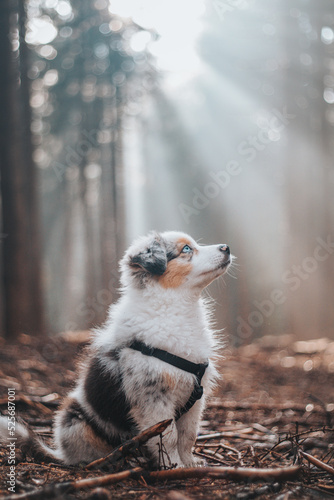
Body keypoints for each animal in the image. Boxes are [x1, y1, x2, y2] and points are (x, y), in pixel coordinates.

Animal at [0, 230, 232, 468]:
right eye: (186, 249)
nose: (226, 247)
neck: (175, 308)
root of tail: (61, 453)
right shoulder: (153, 397)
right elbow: (168, 437)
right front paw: (173, 466)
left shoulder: (195, 398)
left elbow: (187, 435)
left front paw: (190, 464)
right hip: (74, 419)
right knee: (90, 453)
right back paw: (118, 460)